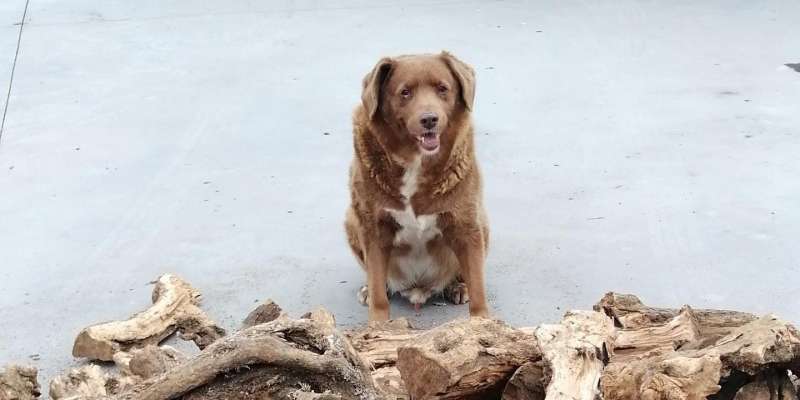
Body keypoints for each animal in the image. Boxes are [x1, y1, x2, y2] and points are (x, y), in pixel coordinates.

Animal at [344, 52, 488, 322]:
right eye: (405, 92)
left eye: (443, 88)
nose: (429, 119)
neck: (415, 162)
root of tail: (417, 288)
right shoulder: (373, 228)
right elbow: (378, 293)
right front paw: (378, 324)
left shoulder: (466, 225)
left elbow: (478, 289)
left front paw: (483, 323)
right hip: (351, 219)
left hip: (482, 223)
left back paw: (457, 286)